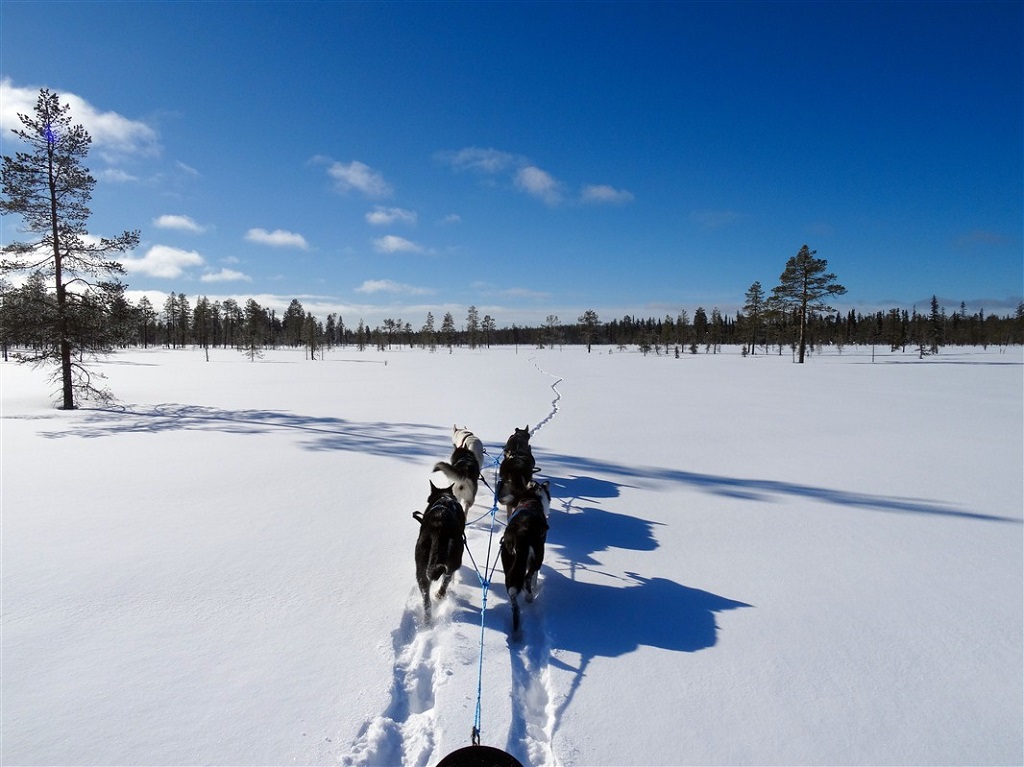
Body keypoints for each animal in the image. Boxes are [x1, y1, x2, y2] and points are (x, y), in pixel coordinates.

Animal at [413, 485, 466, 622]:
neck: (444, 497)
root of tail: (439, 527)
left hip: (422, 568)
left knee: (426, 600)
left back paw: (427, 620)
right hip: (455, 559)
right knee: (447, 578)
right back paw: (440, 594)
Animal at [501, 479, 552, 634]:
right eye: (543, 485)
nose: (547, 481)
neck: (531, 498)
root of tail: (520, 532)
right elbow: (534, 576)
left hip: (508, 562)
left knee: (513, 595)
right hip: (538, 554)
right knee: (527, 578)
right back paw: (529, 597)